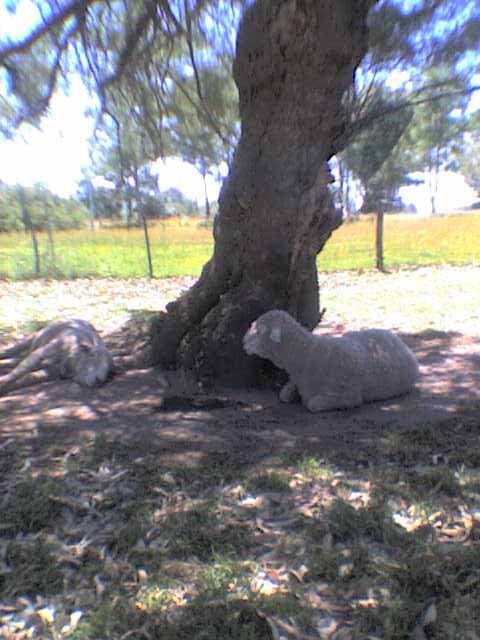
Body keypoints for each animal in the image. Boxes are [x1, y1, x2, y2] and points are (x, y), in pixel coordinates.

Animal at [244, 308, 420, 410]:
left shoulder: (350, 397)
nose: (243, 342)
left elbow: (312, 404)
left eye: (259, 330)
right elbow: (284, 395)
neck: (306, 354)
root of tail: (396, 338)